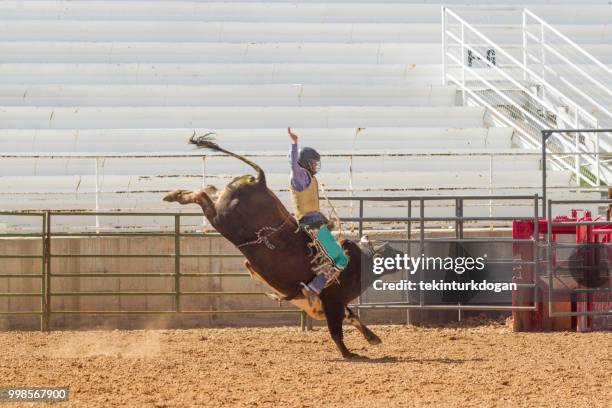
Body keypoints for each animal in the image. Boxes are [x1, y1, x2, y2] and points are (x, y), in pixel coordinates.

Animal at [164, 136, 402, 356]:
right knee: (202, 196)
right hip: (221, 218)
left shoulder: (333, 305)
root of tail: (260, 183)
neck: (356, 264)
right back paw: (175, 195)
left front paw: (372, 337)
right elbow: (337, 330)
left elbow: (352, 317)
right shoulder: (333, 301)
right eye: (390, 251)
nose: (404, 257)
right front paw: (348, 353)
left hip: (222, 204)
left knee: (209, 189)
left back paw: (177, 193)